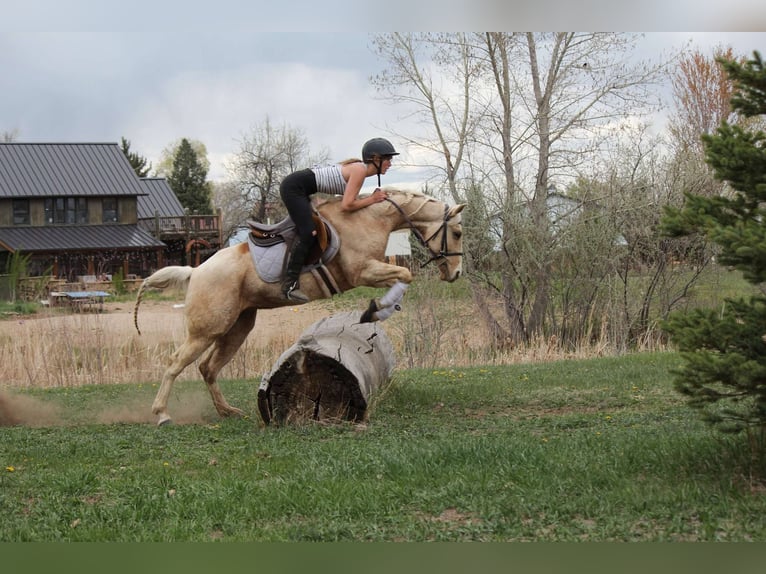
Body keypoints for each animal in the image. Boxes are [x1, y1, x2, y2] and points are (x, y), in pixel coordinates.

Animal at [133, 188, 466, 426]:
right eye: (458, 233)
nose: (456, 273)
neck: (370, 219)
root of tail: (195, 271)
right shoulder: (363, 272)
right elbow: (405, 274)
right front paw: (376, 310)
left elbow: (403, 276)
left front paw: (379, 309)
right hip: (207, 329)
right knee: (176, 364)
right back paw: (162, 414)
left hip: (238, 326)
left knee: (208, 368)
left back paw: (227, 411)